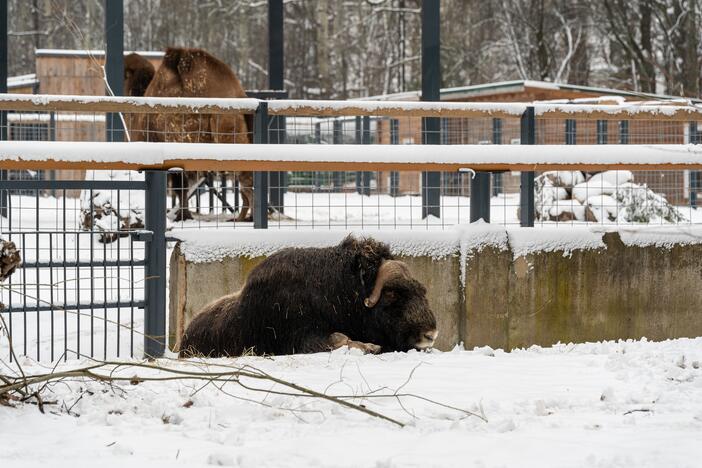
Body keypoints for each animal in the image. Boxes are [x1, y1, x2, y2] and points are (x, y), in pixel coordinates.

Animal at [124, 48, 256, 222]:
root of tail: (240, 96)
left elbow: (180, 187)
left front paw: (182, 216)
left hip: (227, 133)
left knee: (247, 181)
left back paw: (251, 218)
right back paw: (240, 218)